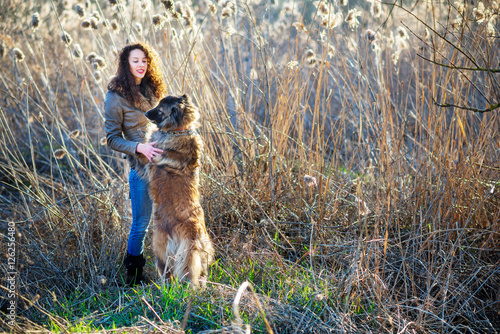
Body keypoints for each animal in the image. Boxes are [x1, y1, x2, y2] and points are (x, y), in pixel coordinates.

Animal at [145, 94, 215, 288]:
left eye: (159, 109)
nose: (145, 113)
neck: (179, 130)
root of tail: (194, 234)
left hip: (161, 246)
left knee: (167, 271)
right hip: (203, 252)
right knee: (200, 273)